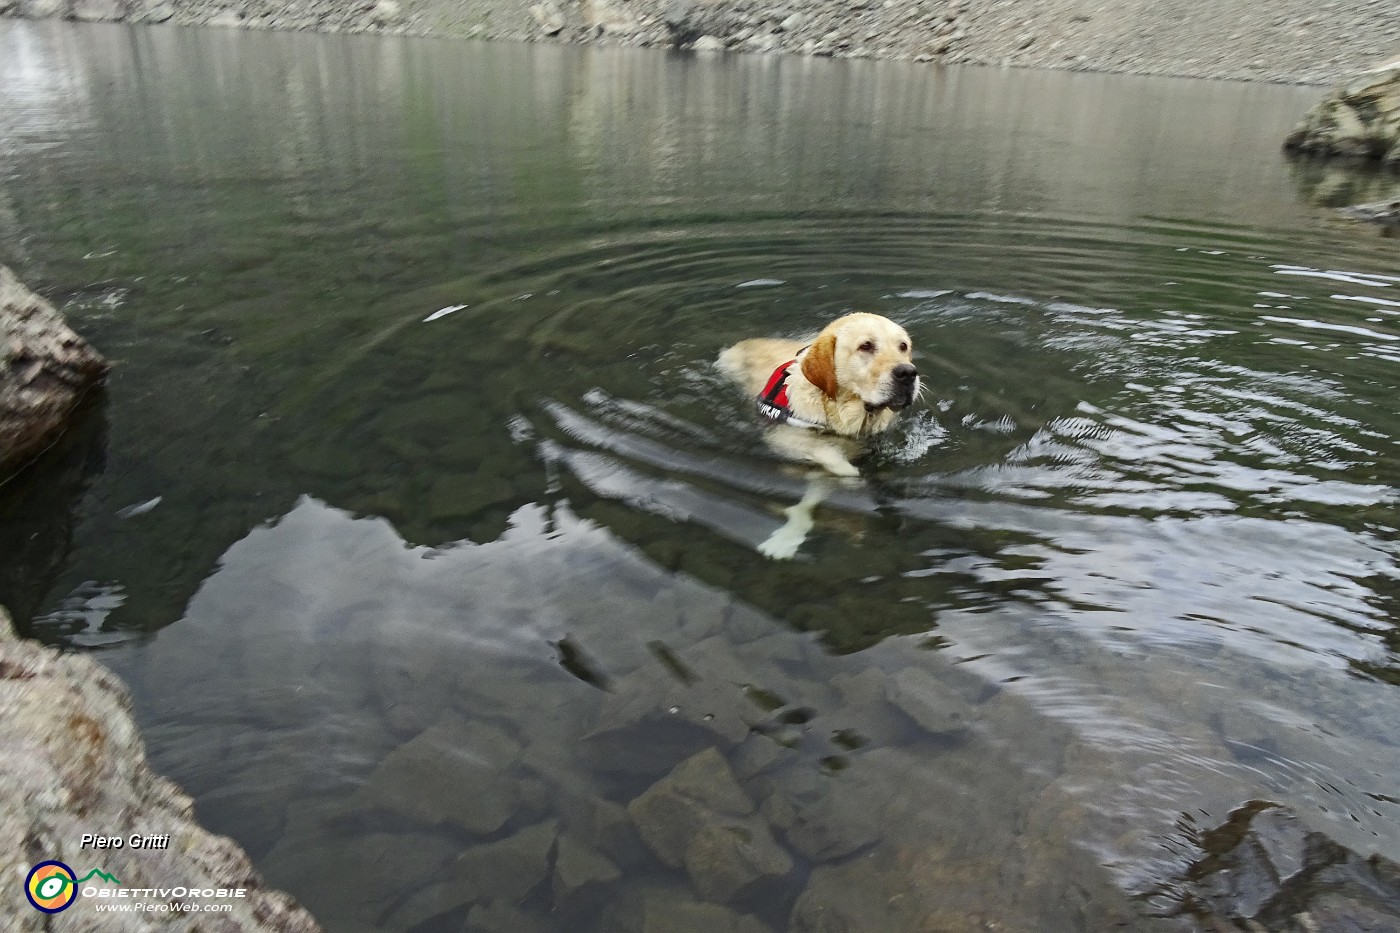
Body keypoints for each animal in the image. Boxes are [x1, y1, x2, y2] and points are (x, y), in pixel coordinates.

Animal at [722, 312, 918, 554]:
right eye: (866, 346)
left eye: (903, 346)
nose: (908, 373)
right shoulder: (784, 436)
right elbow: (825, 453)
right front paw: (786, 539)